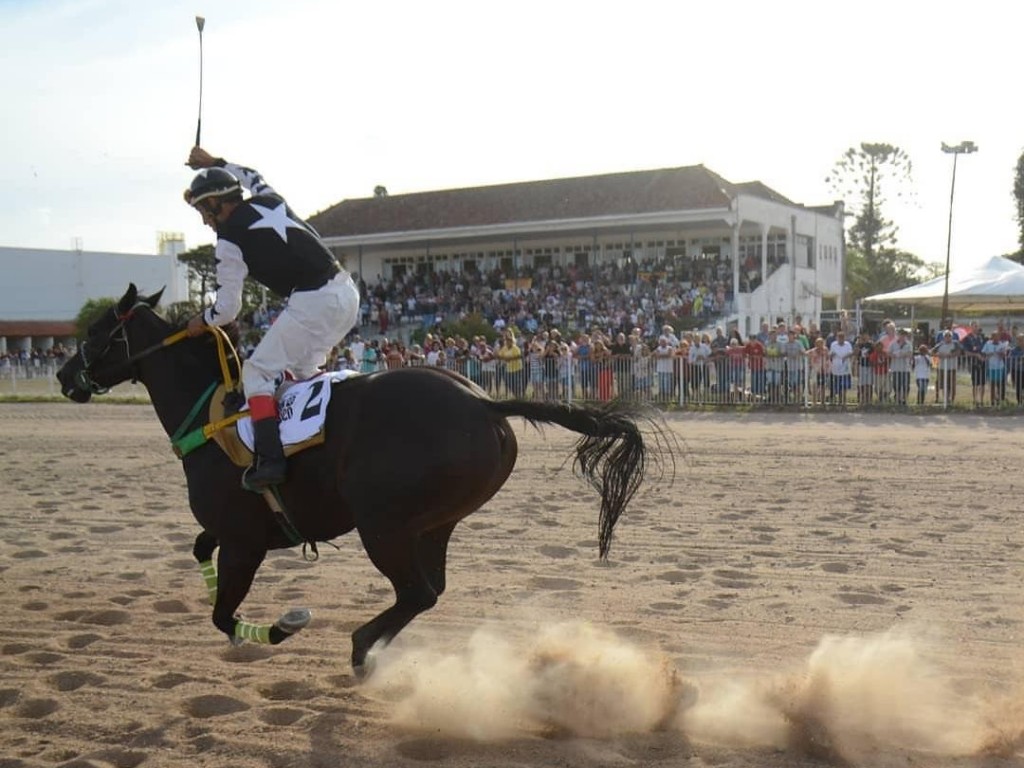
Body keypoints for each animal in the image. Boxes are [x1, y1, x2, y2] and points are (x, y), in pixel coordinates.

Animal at [58, 286, 655, 675]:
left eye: (96, 330)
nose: (65, 375)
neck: (212, 419)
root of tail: (484, 402)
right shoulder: (234, 531)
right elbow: (200, 551)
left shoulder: (245, 541)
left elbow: (223, 612)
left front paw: (282, 625)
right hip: (433, 523)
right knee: (428, 592)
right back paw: (372, 648)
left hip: (382, 523)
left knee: (416, 591)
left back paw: (361, 646)